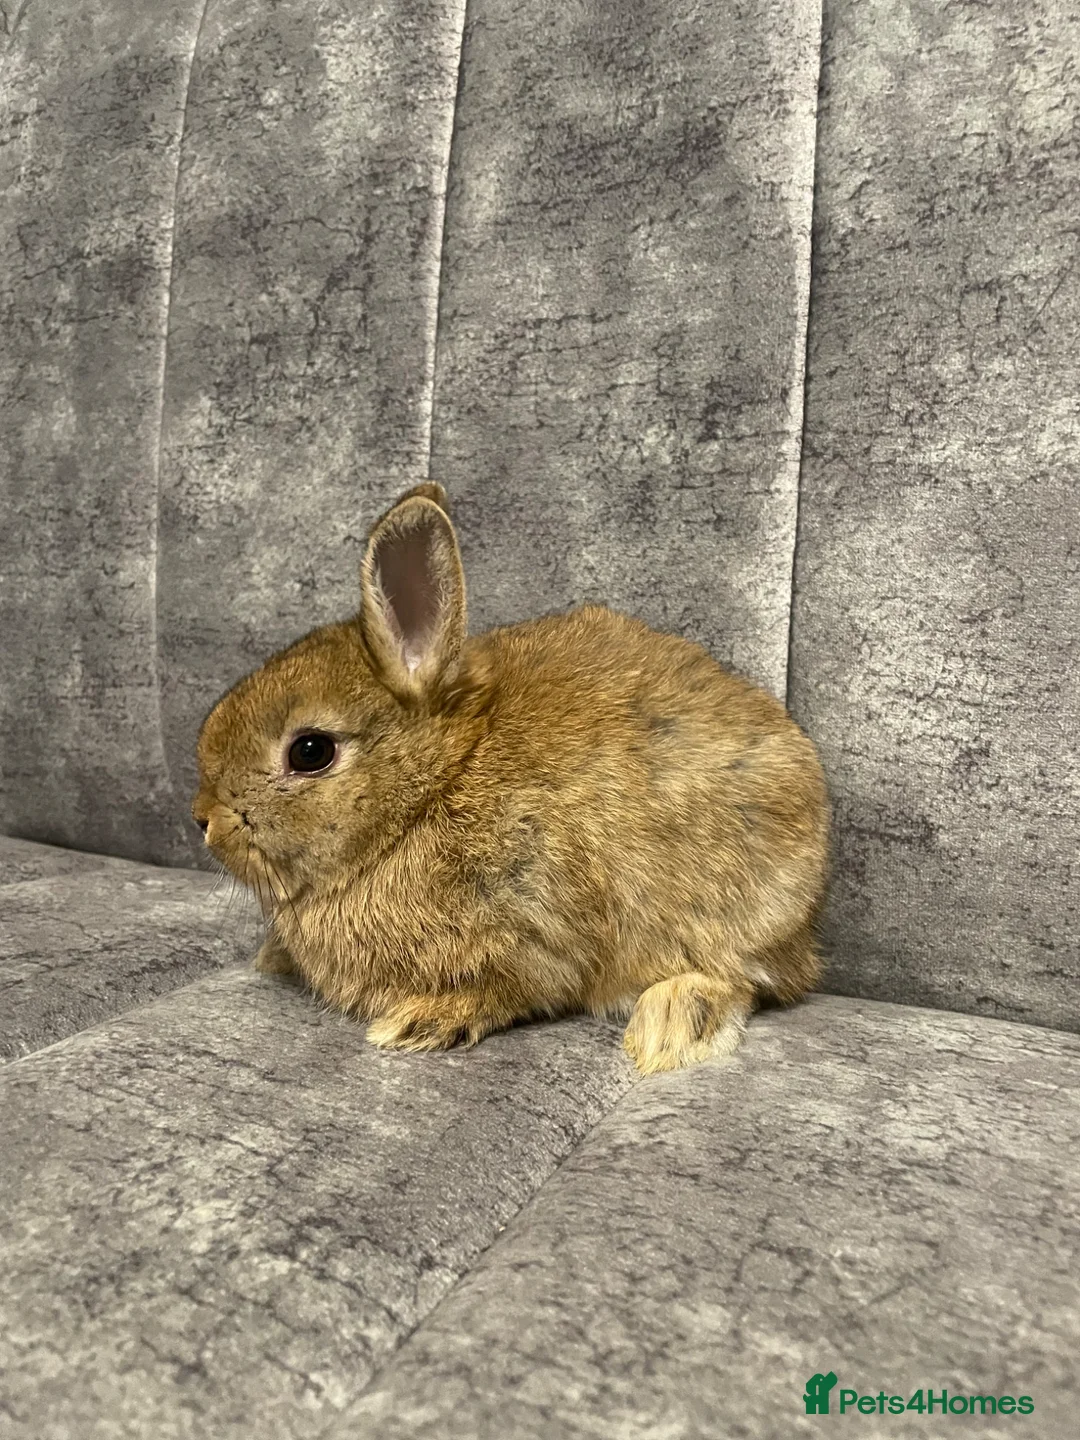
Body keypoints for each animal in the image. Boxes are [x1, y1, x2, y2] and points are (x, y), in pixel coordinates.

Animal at [193, 483, 829, 1074]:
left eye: (310, 751)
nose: (203, 819)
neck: (432, 790)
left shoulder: (535, 928)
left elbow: (510, 989)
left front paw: (421, 1021)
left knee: (740, 979)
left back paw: (670, 1027)